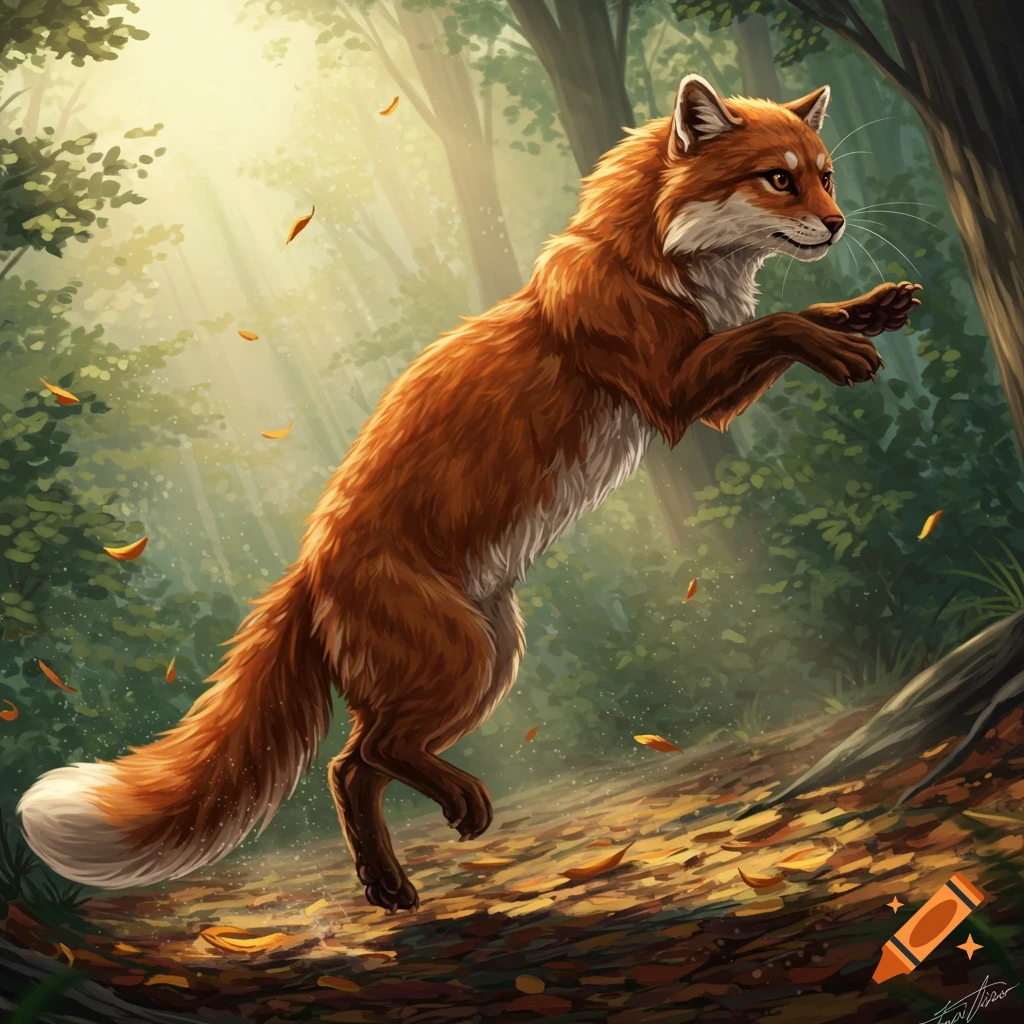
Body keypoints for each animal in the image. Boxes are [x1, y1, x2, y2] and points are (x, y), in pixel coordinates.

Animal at [18, 75, 920, 912]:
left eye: (825, 177)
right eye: (778, 179)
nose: (839, 224)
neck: (656, 264)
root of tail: (306, 568)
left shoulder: (711, 399)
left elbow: (806, 314)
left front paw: (873, 308)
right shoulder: (674, 394)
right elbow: (782, 326)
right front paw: (844, 346)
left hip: (487, 662)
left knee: (352, 765)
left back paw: (389, 886)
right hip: (462, 663)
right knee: (366, 754)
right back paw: (453, 809)